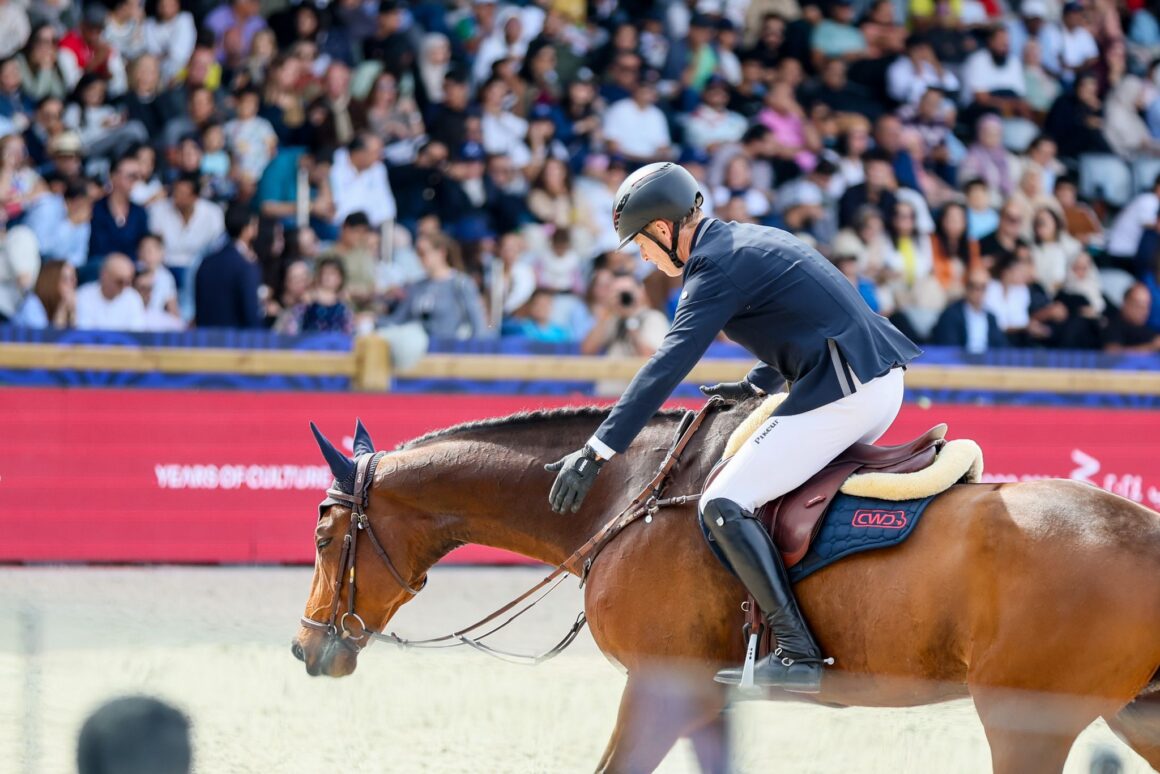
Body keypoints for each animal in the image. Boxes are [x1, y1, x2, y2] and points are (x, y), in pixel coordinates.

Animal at [292, 403, 1160, 770]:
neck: (626, 499)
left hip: (1028, 722)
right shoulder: (705, 694)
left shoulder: (660, 683)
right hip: (1135, 713)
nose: (305, 649)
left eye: (326, 538)